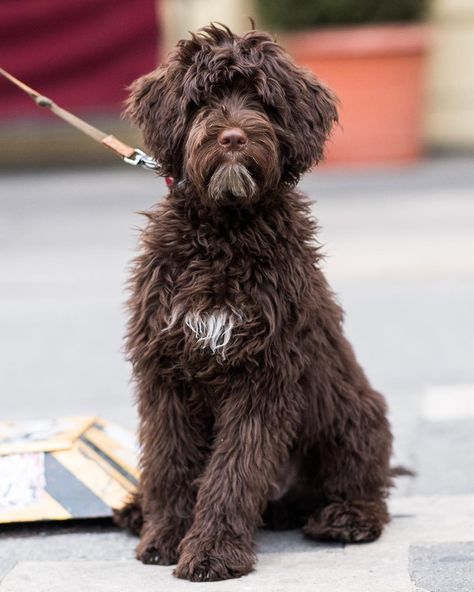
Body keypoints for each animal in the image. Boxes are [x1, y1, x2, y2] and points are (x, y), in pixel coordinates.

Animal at [115, 24, 392, 584]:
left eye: (262, 101)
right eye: (201, 100)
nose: (232, 137)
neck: (224, 233)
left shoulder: (264, 374)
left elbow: (234, 469)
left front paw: (212, 552)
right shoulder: (165, 369)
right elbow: (170, 461)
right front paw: (166, 536)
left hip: (352, 413)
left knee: (365, 488)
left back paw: (346, 517)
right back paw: (137, 511)